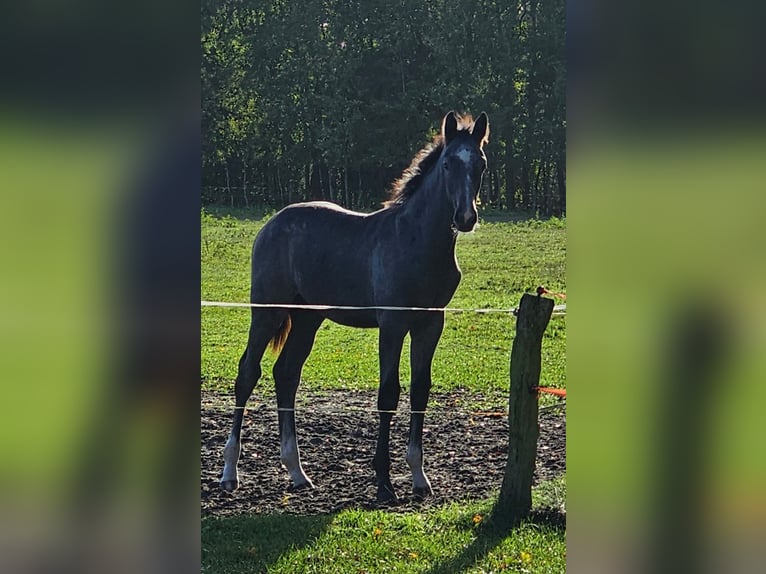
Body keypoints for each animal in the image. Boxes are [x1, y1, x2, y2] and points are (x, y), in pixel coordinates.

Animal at [219, 112, 488, 504]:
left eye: (481, 164)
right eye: (449, 163)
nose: (466, 217)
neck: (416, 241)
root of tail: (271, 224)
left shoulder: (430, 324)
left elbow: (420, 390)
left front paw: (420, 478)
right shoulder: (392, 323)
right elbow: (388, 393)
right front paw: (384, 483)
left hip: (307, 318)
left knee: (286, 374)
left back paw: (298, 473)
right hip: (268, 312)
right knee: (247, 374)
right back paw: (229, 473)